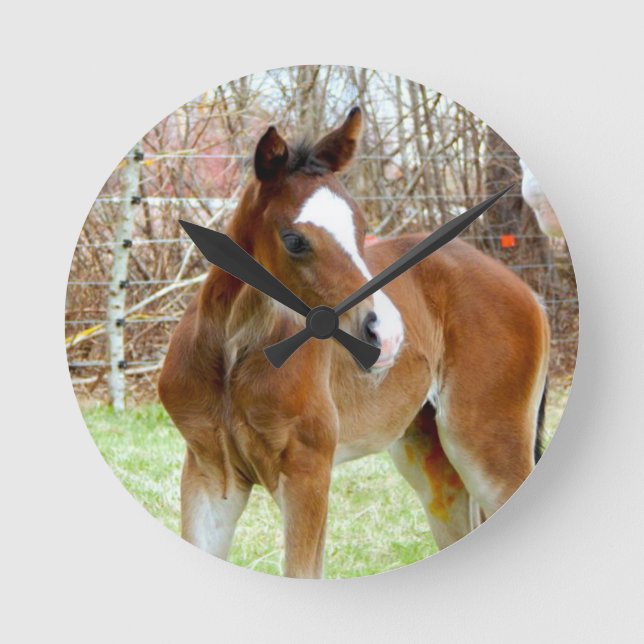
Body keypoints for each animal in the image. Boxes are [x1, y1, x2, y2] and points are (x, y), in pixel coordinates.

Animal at [158, 107, 550, 578]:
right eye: (294, 240)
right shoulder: (208, 473)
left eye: (361, 229)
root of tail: (528, 292)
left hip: (488, 450)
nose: (388, 334)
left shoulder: (308, 471)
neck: (233, 355)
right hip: (431, 458)